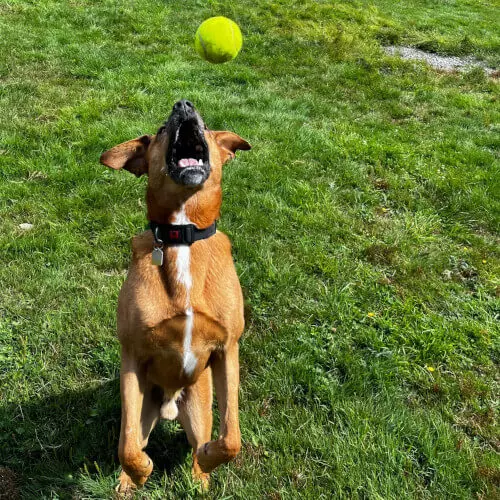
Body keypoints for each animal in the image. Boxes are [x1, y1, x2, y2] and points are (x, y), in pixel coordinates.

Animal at [100, 98, 252, 492]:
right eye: (161, 129)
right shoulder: (132, 356)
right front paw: (141, 470)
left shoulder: (227, 349)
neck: (182, 235)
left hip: (199, 406)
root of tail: (171, 405)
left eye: (207, 125)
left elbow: (231, 437)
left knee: (202, 442)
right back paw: (129, 481)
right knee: (132, 439)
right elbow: (126, 448)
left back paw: (201, 474)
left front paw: (211, 457)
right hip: (143, 408)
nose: (184, 104)